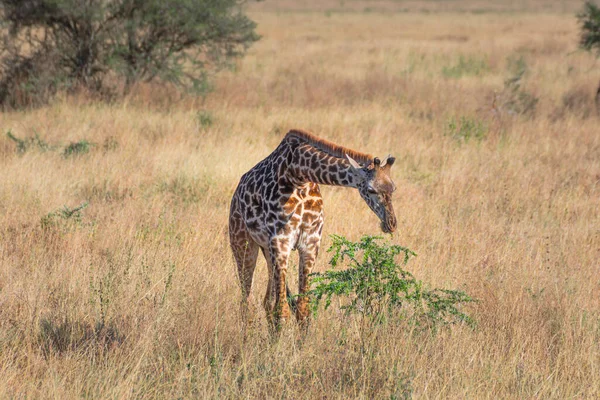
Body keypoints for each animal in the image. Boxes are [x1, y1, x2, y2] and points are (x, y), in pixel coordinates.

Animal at [230, 130, 398, 330]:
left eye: (394, 188)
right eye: (371, 190)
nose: (391, 223)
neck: (298, 175)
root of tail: (237, 192)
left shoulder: (310, 243)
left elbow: (303, 309)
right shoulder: (281, 242)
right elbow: (283, 311)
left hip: (266, 251)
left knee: (267, 302)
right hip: (243, 244)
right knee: (246, 301)